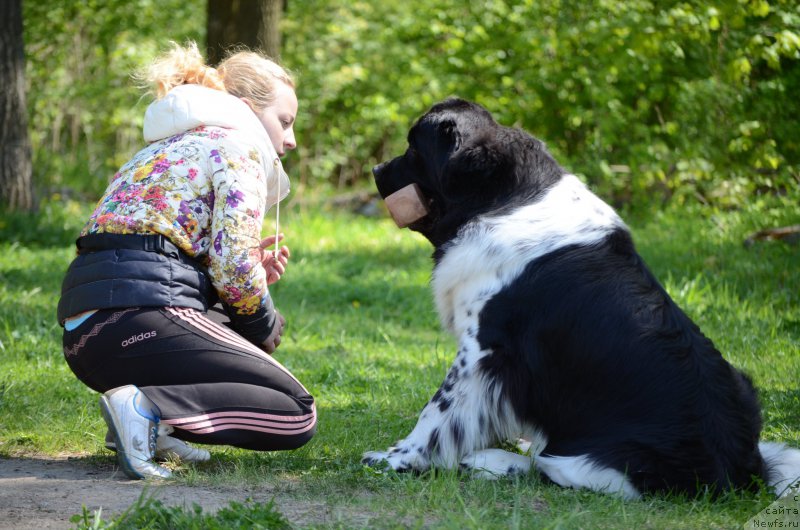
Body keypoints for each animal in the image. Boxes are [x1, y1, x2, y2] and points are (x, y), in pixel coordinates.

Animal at [364, 97, 800, 498]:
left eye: (414, 149)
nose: (376, 170)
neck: (503, 201)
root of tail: (742, 470)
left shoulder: (484, 350)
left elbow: (439, 412)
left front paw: (395, 458)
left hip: (595, 463)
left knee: (550, 467)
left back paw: (495, 461)